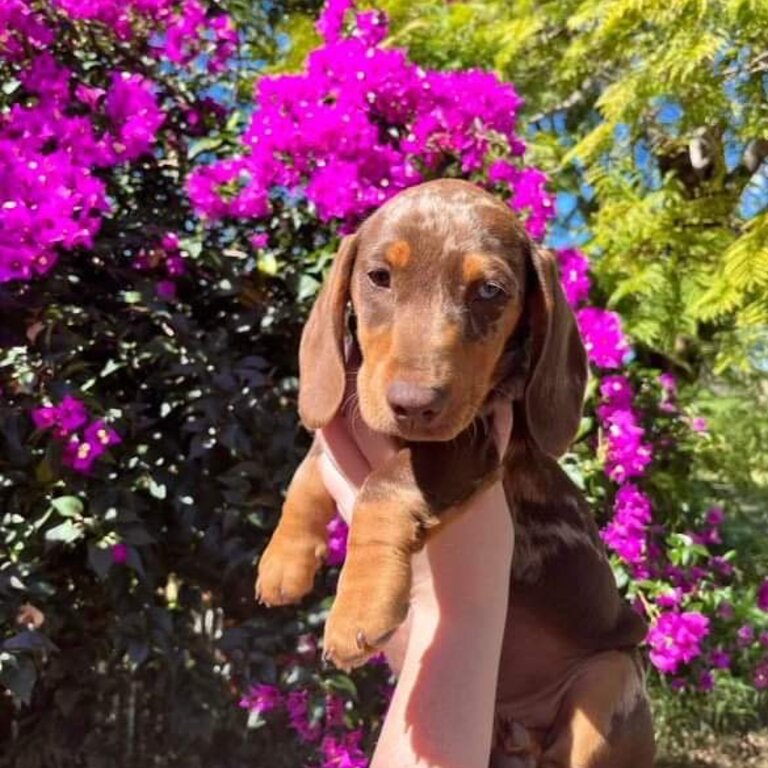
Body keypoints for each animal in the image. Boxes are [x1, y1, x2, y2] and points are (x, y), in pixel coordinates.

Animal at [258, 180, 656, 768]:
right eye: (379, 277)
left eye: (491, 290)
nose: (413, 405)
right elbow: (308, 474)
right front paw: (284, 559)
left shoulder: (472, 445)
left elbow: (386, 485)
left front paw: (358, 605)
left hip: (609, 679)